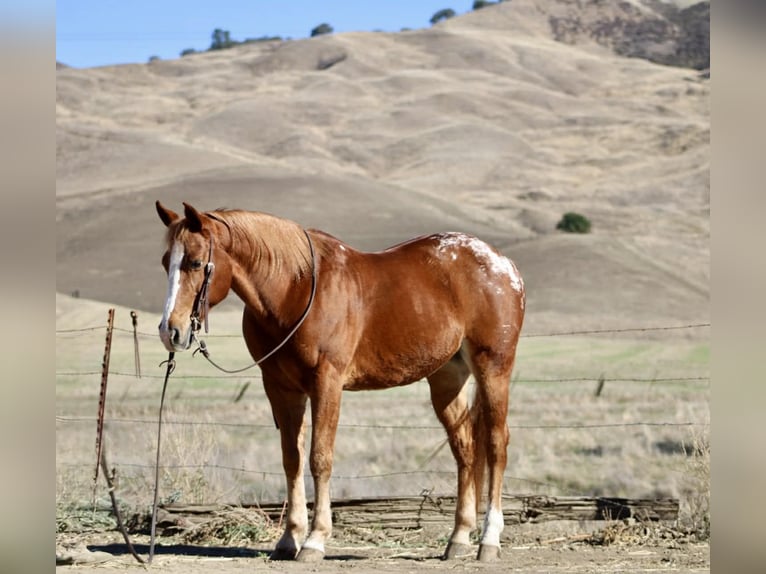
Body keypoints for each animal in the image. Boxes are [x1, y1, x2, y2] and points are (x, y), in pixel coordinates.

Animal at [155, 201, 525, 562]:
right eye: (164, 262)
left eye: (195, 262)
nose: (169, 331)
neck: (294, 288)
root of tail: (503, 265)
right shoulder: (280, 388)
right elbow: (292, 459)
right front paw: (289, 539)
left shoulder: (326, 383)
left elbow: (320, 458)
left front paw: (315, 540)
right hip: (448, 378)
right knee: (465, 448)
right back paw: (459, 538)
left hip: (493, 368)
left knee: (496, 444)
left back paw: (489, 540)